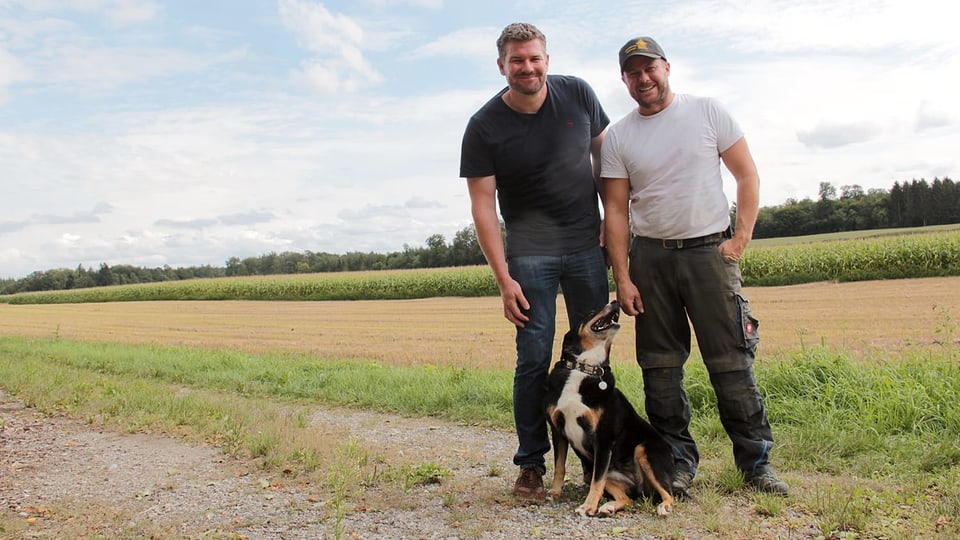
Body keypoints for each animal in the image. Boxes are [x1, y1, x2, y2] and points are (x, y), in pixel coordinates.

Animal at [544, 302, 672, 516]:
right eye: (590, 312)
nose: (615, 302)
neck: (584, 369)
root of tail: (639, 485)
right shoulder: (558, 431)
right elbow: (559, 466)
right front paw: (554, 492)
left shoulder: (603, 438)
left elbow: (597, 482)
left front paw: (587, 506)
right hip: (603, 474)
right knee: (628, 498)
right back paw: (609, 506)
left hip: (643, 450)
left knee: (669, 493)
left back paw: (664, 506)